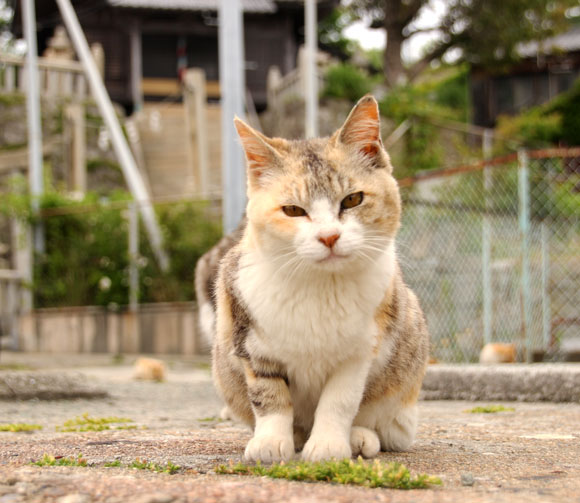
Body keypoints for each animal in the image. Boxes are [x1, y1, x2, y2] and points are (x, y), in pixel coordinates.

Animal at [197, 96, 428, 462]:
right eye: (293, 210)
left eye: (352, 199)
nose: (329, 236)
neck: (321, 285)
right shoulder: (253, 343)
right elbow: (269, 397)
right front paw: (271, 442)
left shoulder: (359, 352)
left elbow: (340, 400)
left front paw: (329, 446)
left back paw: (360, 437)